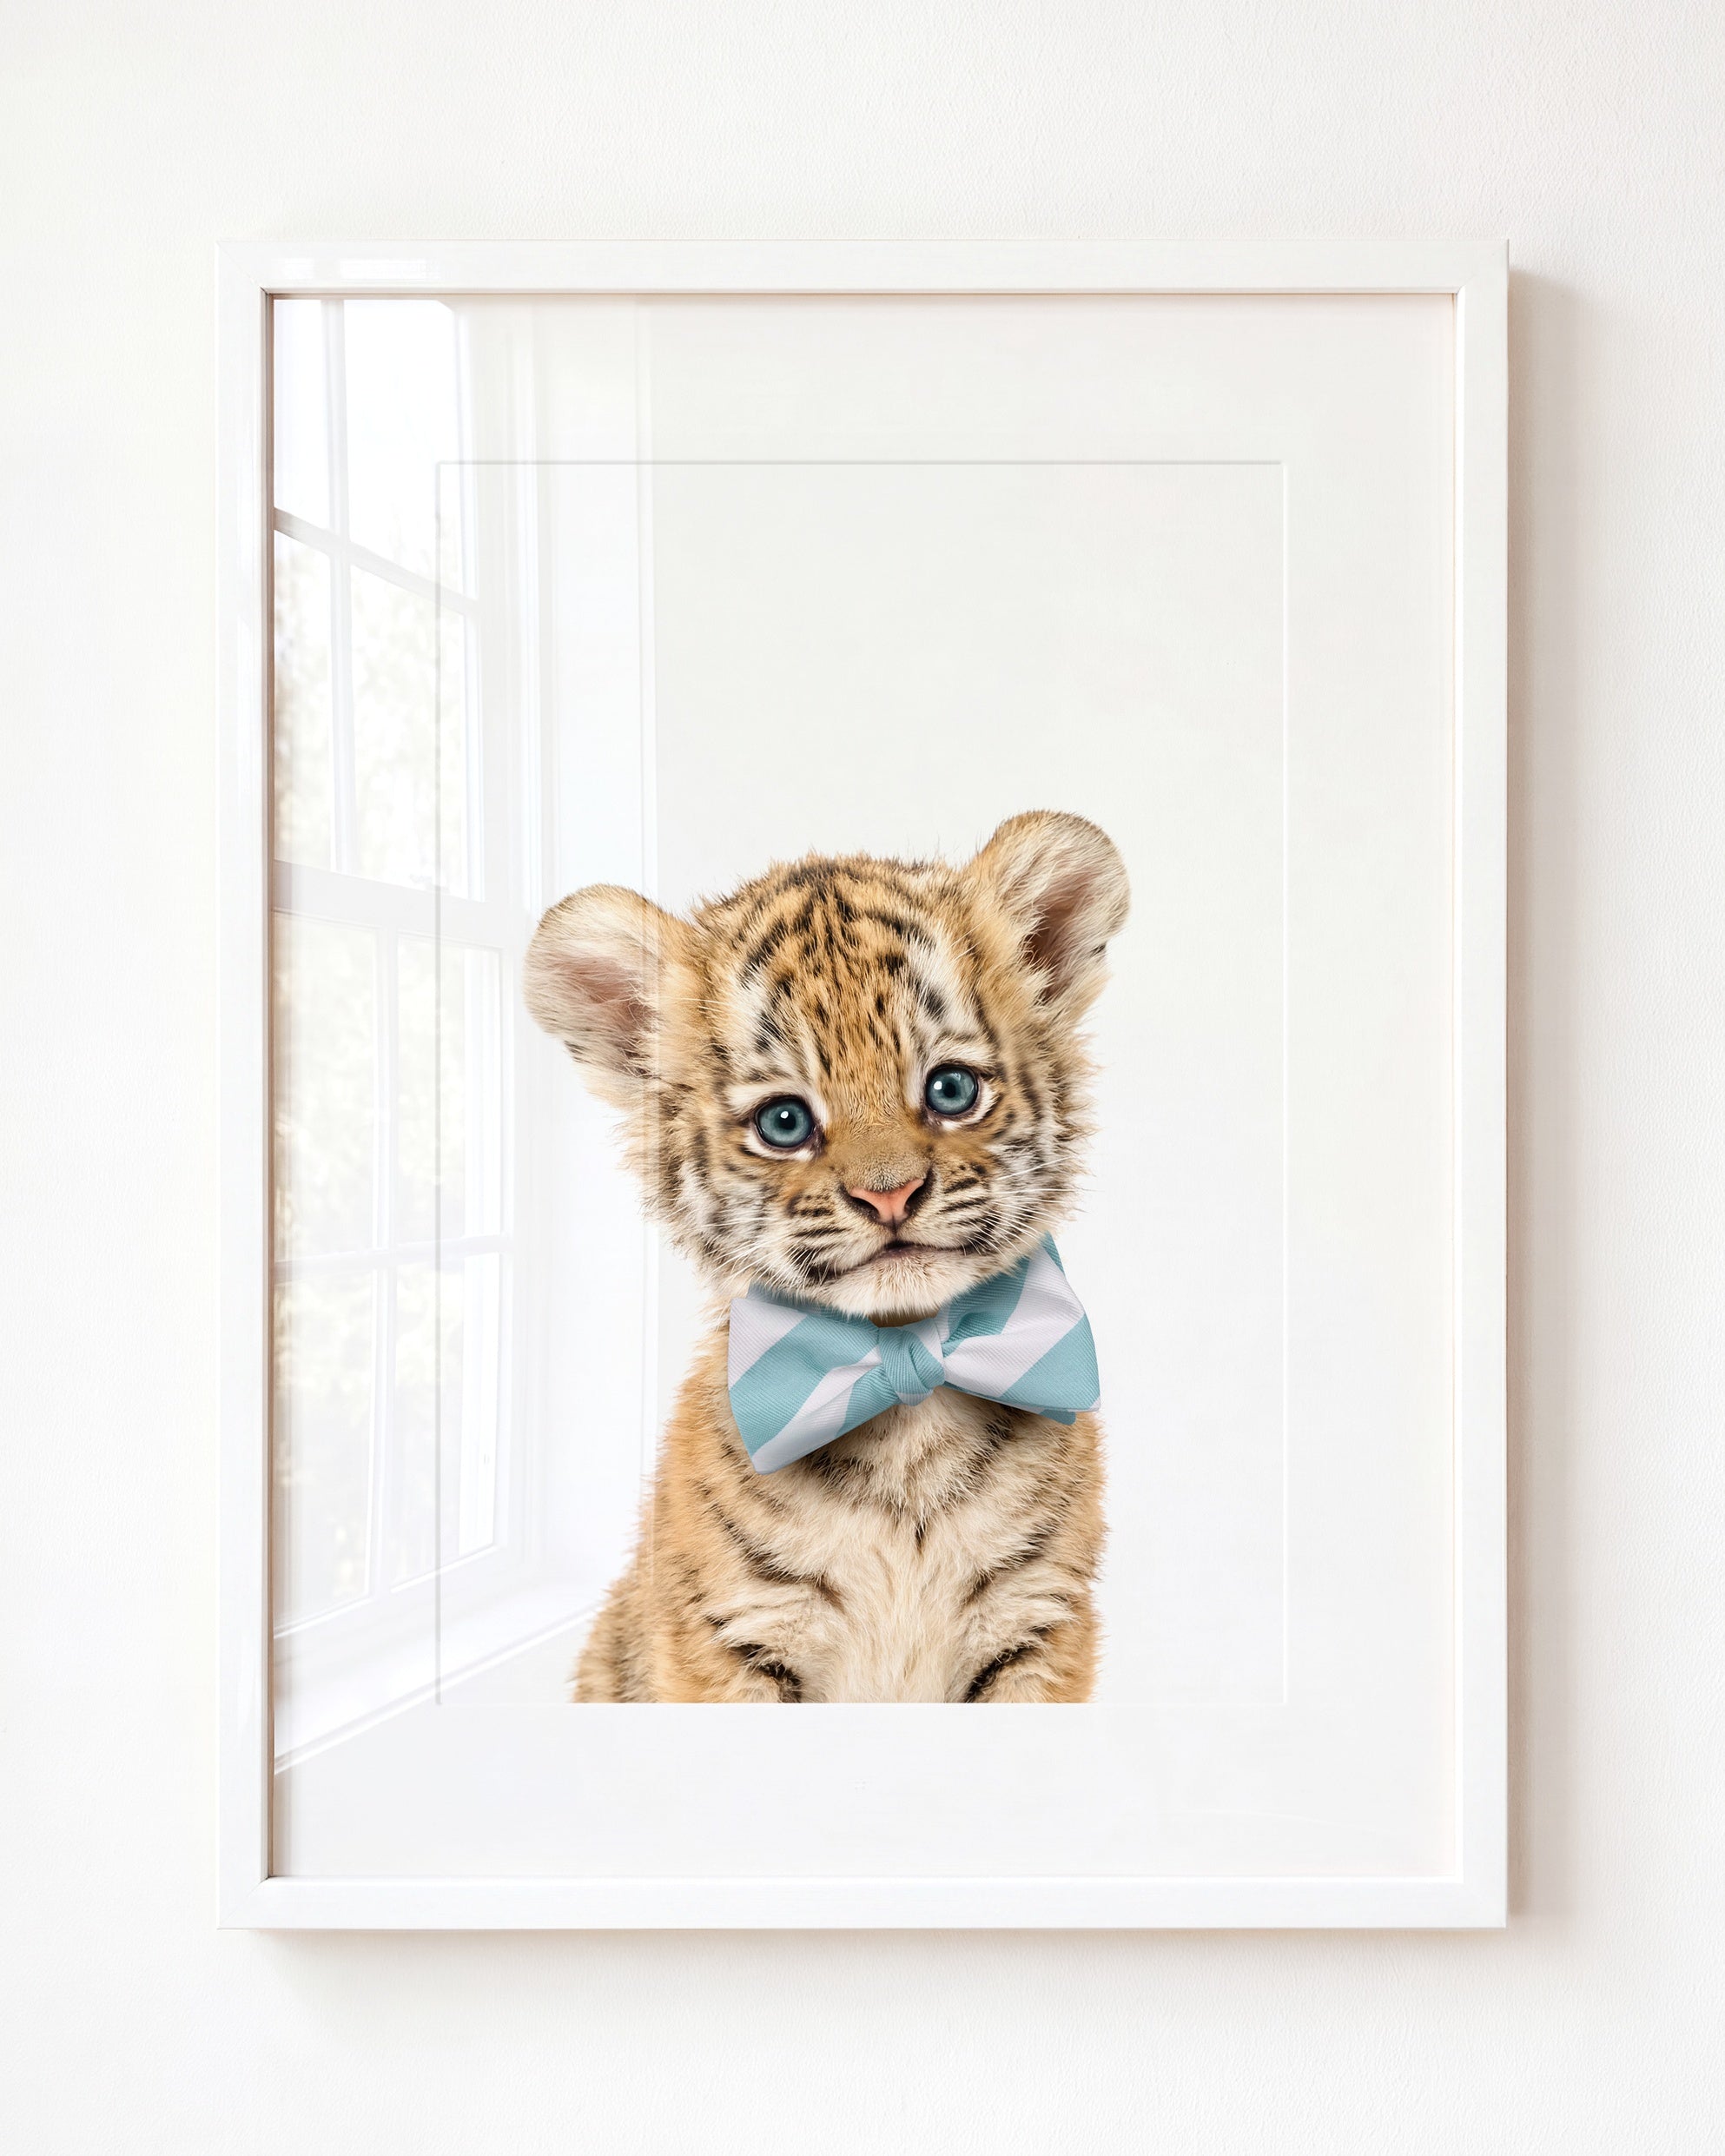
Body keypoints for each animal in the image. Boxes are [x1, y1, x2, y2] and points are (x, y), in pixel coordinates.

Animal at [522, 809, 1129, 1703]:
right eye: (784, 1122)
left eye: (951, 1090)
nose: (891, 1195)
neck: (906, 1399)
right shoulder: (731, 1638)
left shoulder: (1037, 1622)